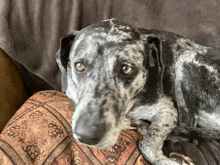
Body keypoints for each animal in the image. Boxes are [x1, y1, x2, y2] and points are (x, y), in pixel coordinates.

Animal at [55, 18, 220, 165]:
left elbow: (147, 143)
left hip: (187, 57)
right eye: (79, 65)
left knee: (187, 134)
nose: (86, 136)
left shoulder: (168, 110)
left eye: (126, 68)